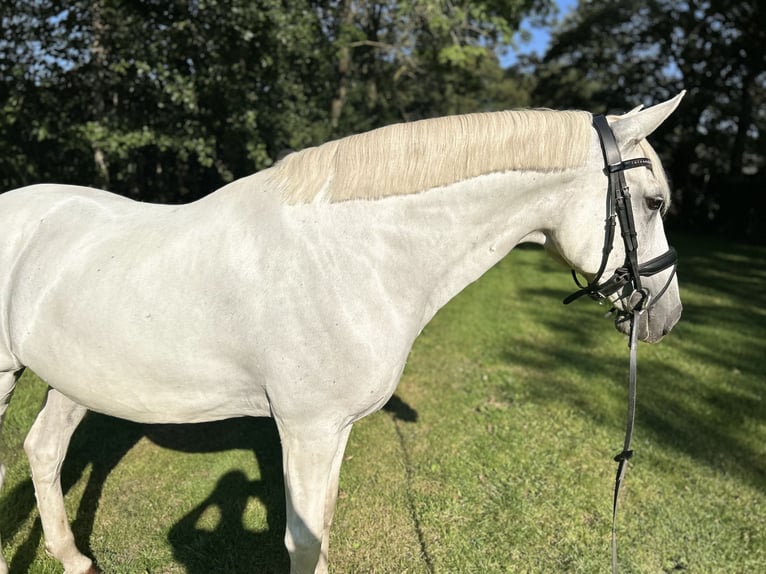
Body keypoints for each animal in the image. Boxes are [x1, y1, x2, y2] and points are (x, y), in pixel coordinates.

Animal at [0, 92, 684, 572]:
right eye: (653, 203)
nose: (666, 314)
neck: (349, 255)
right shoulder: (305, 430)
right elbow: (303, 541)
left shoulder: (333, 431)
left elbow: (323, 526)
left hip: (78, 380)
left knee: (43, 451)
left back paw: (74, 559)